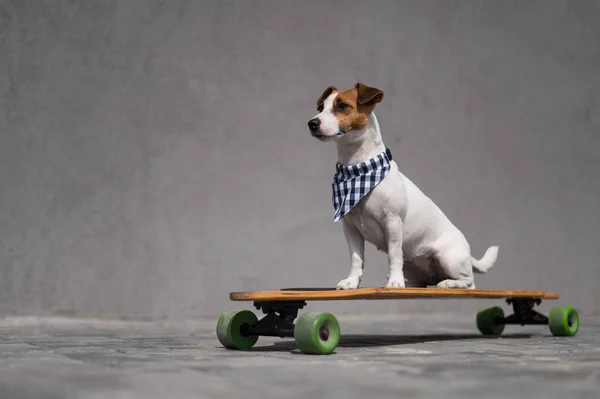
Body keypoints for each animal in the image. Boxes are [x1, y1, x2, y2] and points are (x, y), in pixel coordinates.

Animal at [308, 83, 500, 292]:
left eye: (342, 106)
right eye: (321, 107)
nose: (312, 123)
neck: (358, 169)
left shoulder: (392, 222)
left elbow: (393, 255)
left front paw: (394, 282)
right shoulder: (351, 229)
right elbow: (356, 258)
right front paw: (352, 282)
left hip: (449, 258)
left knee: (469, 282)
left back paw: (448, 283)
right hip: (414, 266)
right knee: (420, 281)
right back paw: (409, 283)